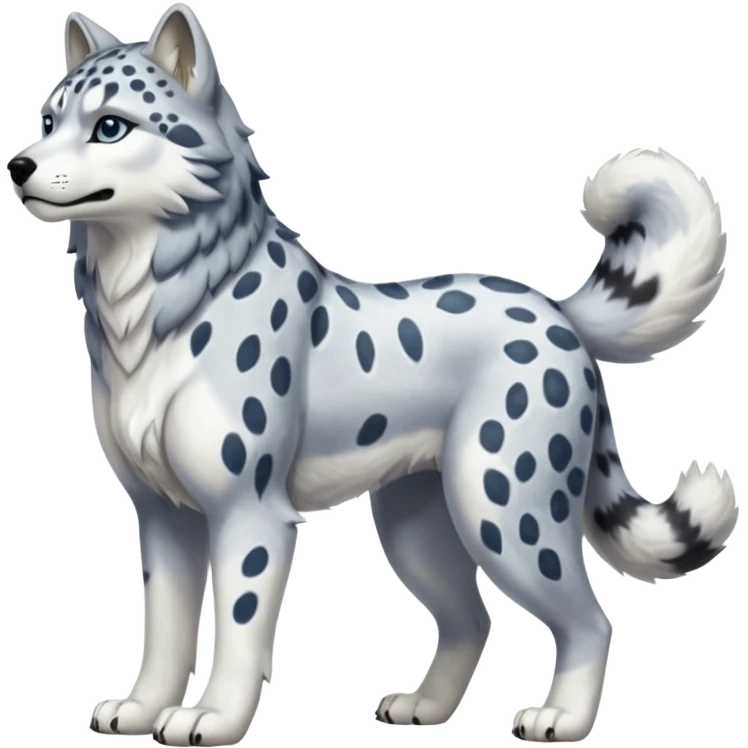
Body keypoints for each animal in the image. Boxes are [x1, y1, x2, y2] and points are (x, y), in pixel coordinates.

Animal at [7, 4, 738, 745]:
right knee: (472, 619)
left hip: (504, 510)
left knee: (591, 619)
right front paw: (140, 708)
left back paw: (560, 718)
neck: (150, 311)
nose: (18, 165)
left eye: (110, 126)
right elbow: (165, 628)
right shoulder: (162, 513)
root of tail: (554, 311)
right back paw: (426, 708)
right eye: (49, 119)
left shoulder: (249, 513)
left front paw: (213, 717)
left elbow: (239, 630)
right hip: (419, 526)